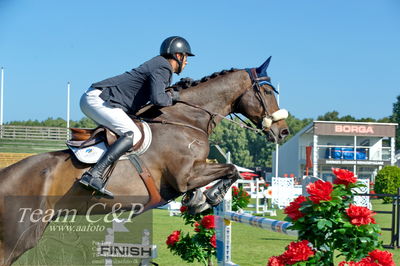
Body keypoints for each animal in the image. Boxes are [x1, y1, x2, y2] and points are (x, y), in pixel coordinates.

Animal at [0, 57, 288, 264]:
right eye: (266, 91)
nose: (283, 132)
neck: (185, 119)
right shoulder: (184, 176)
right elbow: (231, 169)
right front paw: (211, 197)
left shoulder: (191, 174)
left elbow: (228, 172)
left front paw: (198, 200)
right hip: (17, 237)